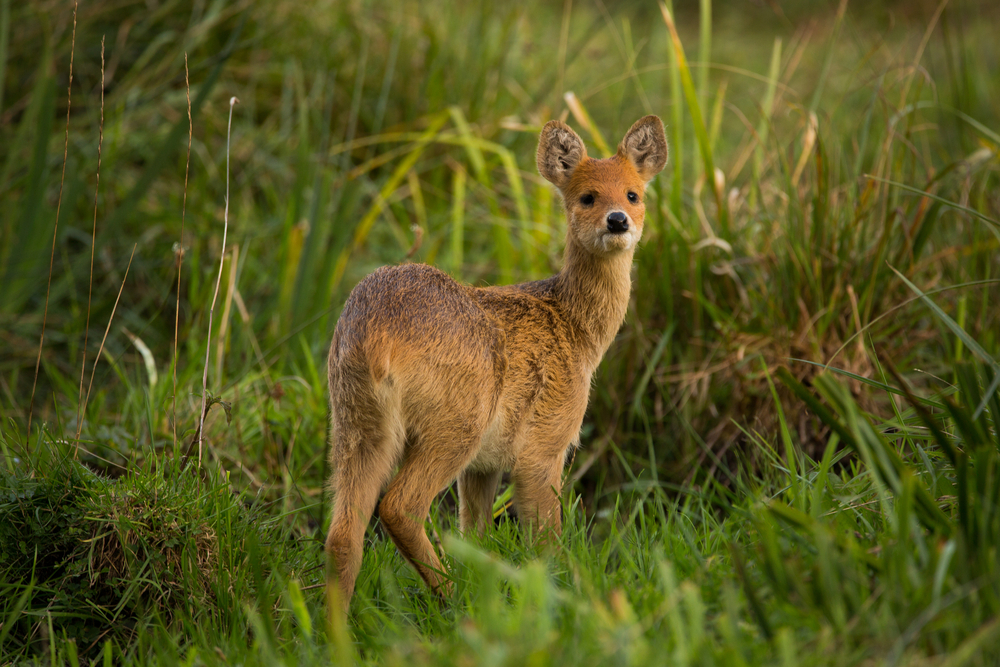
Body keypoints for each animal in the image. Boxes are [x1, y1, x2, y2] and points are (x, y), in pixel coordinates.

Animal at [328, 116, 668, 612]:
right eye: (586, 196)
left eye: (633, 194)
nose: (618, 220)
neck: (575, 329)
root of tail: (375, 332)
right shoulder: (544, 445)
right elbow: (546, 542)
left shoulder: (483, 466)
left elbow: (476, 533)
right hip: (455, 423)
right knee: (399, 505)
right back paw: (454, 600)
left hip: (354, 424)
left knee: (342, 534)